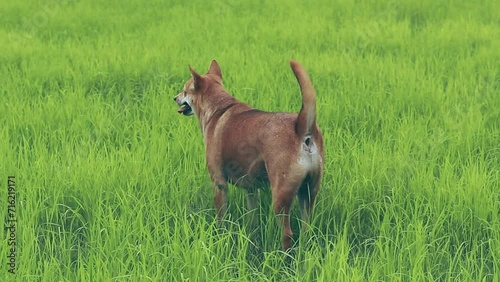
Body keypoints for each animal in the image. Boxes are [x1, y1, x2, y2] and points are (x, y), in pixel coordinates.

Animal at [176, 60, 324, 251]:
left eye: (185, 91)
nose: (175, 97)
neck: (218, 108)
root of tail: (301, 128)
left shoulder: (219, 184)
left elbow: (220, 218)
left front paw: (219, 236)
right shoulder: (252, 189)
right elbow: (252, 218)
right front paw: (251, 238)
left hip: (281, 196)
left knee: (287, 234)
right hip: (309, 192)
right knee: (307, 228)